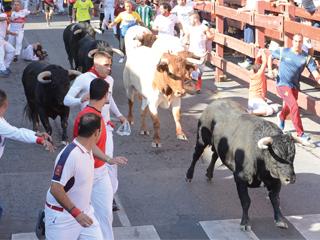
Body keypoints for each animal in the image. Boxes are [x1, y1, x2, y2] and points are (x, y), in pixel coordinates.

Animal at [186, 99, 296, 231]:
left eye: (293, 155)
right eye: (276, 156)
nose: (291, 179)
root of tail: (215, 103)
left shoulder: (276, 181)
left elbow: (275, 200)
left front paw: (280, 220)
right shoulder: (240, 178)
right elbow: (246, 201)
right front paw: (245, 222)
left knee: (214, 155)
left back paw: (209, 174)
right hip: (202, 139)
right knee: (195, 156)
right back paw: (189, 175)